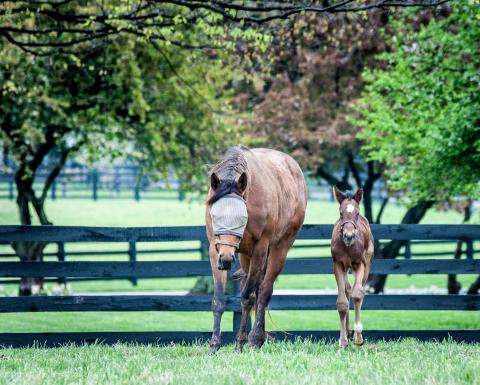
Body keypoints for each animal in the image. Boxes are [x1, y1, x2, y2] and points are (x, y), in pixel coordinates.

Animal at [332, 186, 374, 348]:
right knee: (347, 289)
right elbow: (342, 302)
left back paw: (355, 334)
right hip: (346, 268)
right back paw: (348, 331)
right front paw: (342, 340)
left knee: (360, 292)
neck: (348, 247)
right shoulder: (338, 264)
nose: (349, 236)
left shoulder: (359, 264)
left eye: (357, 213)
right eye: (340, 213)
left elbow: (357, 294)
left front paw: (358, 337)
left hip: (367, 265)